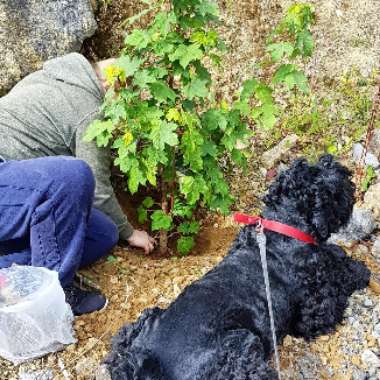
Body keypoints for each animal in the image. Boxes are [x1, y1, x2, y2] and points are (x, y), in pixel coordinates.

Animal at [104, 155, 372, 380]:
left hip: (136, 326)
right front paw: (360, 270)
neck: (281, 228)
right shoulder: (315, 313)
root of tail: (148, 364)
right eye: (329, 181)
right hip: (242, 349)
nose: (333, 162)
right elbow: (342, 278)